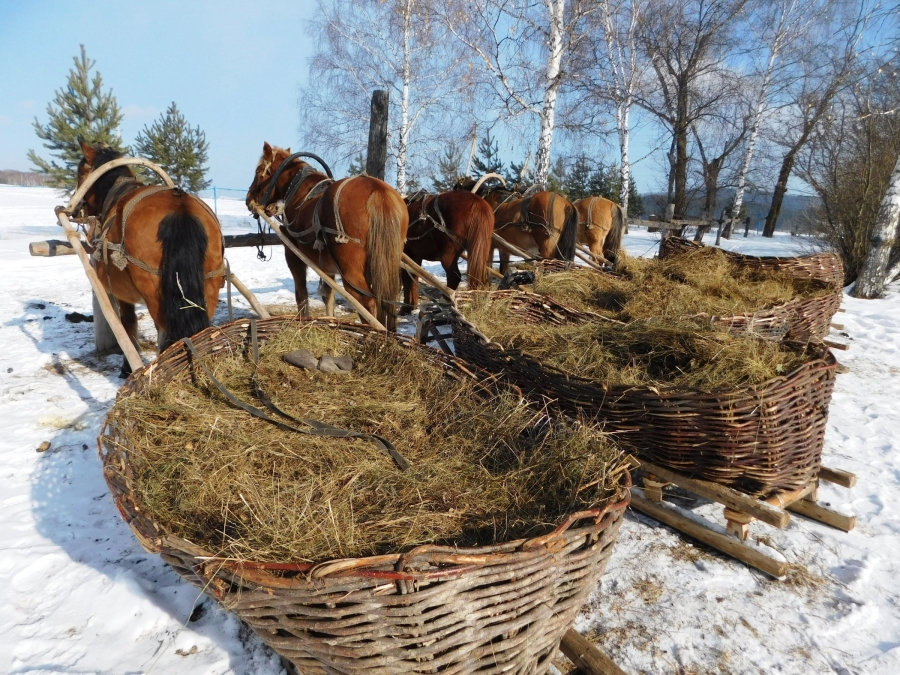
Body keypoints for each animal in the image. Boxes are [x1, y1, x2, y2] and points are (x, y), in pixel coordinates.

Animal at [75, 141, 227, 378]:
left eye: (80, 172)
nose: (78, 209)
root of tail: (179, 207)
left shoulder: (122, 294)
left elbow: (129, 324)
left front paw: (126, 368)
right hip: (208, 286)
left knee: (165, 335)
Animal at [243, 143, 404, 330]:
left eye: (258, 170)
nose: (248, 198)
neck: (300, 194)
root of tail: (376, 189)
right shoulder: (327, 267)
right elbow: (328, 296)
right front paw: (330, 321)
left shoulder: (294, 257)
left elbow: (301, 295)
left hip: (351, 272)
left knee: (366, 303)